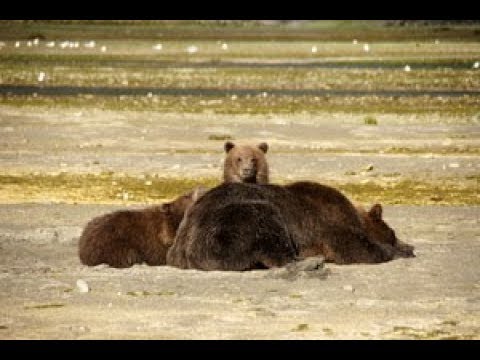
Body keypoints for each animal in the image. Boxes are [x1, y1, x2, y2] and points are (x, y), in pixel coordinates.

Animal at [167, 181, 414, 272]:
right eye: (393, 233)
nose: (411, 247)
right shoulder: (328, 223)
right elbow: (354, 248)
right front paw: (391, 250)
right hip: (230, 221)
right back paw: (311, 261)